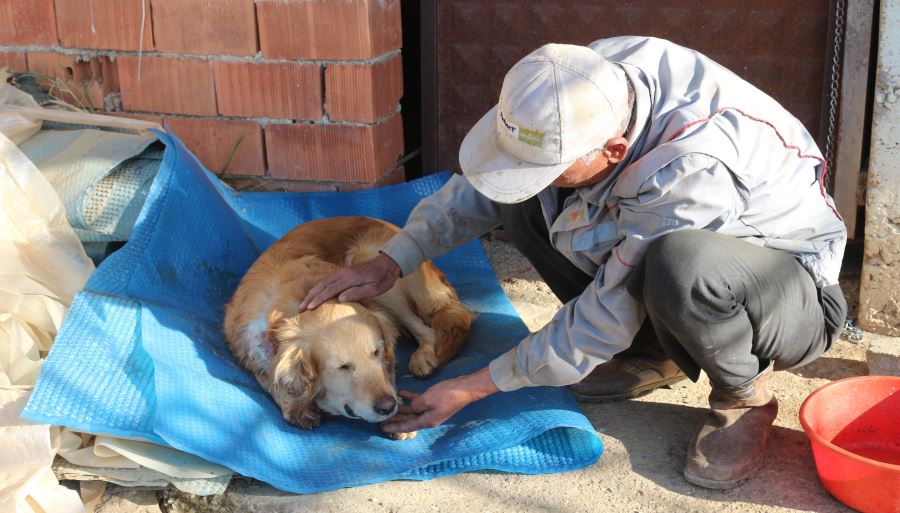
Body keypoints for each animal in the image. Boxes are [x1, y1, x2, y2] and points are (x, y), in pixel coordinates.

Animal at [223, 216, 472, 432]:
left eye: (377, 352)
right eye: (342, 367)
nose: (388, 406)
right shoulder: (248, 347)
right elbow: (268, 378)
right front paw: (296, 406)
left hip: (369, 266)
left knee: (428, 331)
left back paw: (424, 357)